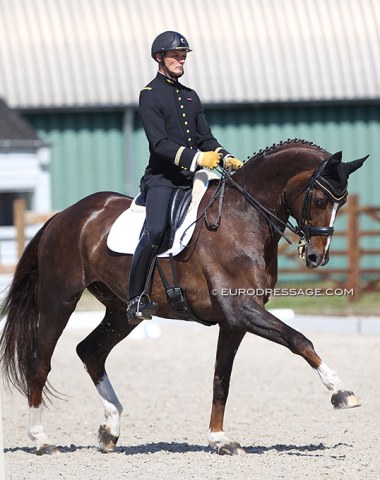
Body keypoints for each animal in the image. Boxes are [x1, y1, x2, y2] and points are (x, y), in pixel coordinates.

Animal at [0, 141, 368, 456]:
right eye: (319, 200)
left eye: (342, 202)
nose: (317, 257)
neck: (243, 217)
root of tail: (63, 217)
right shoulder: (242, 310)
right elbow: (299, 339)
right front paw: (341, 392)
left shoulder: (234, 321)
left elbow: (221, 378)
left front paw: (220, 439)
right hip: (59, 300)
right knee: (40, 362)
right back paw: (41, 440)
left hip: (121, 312)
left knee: (90, 351)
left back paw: (111, 429)